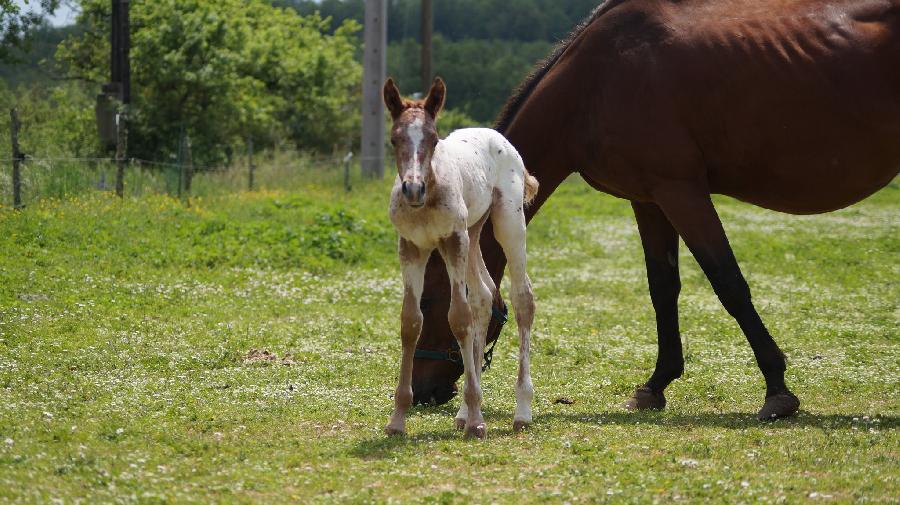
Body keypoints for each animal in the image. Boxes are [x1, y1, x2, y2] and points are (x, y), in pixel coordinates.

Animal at [384, 78, 536, 438]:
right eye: (395, 139)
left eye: (433, 139)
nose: (412, 189)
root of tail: (496, 137)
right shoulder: (411, 247)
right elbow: (410, 322)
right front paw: (397, 419)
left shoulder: (453, 240)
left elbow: (458, 317)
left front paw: (478, 422)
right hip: (474, 232)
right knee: (483, 296)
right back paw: (465, 412)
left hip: (506, 223)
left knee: (522, 298)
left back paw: (521, 411)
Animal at [410, 0, 900, 420]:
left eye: (430, 300)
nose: (419, 390)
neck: (595, 83)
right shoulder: (649, 198)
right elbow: (662, 287)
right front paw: (656, 384)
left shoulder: (681, 192)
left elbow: (728, 283)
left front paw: (777, 389)